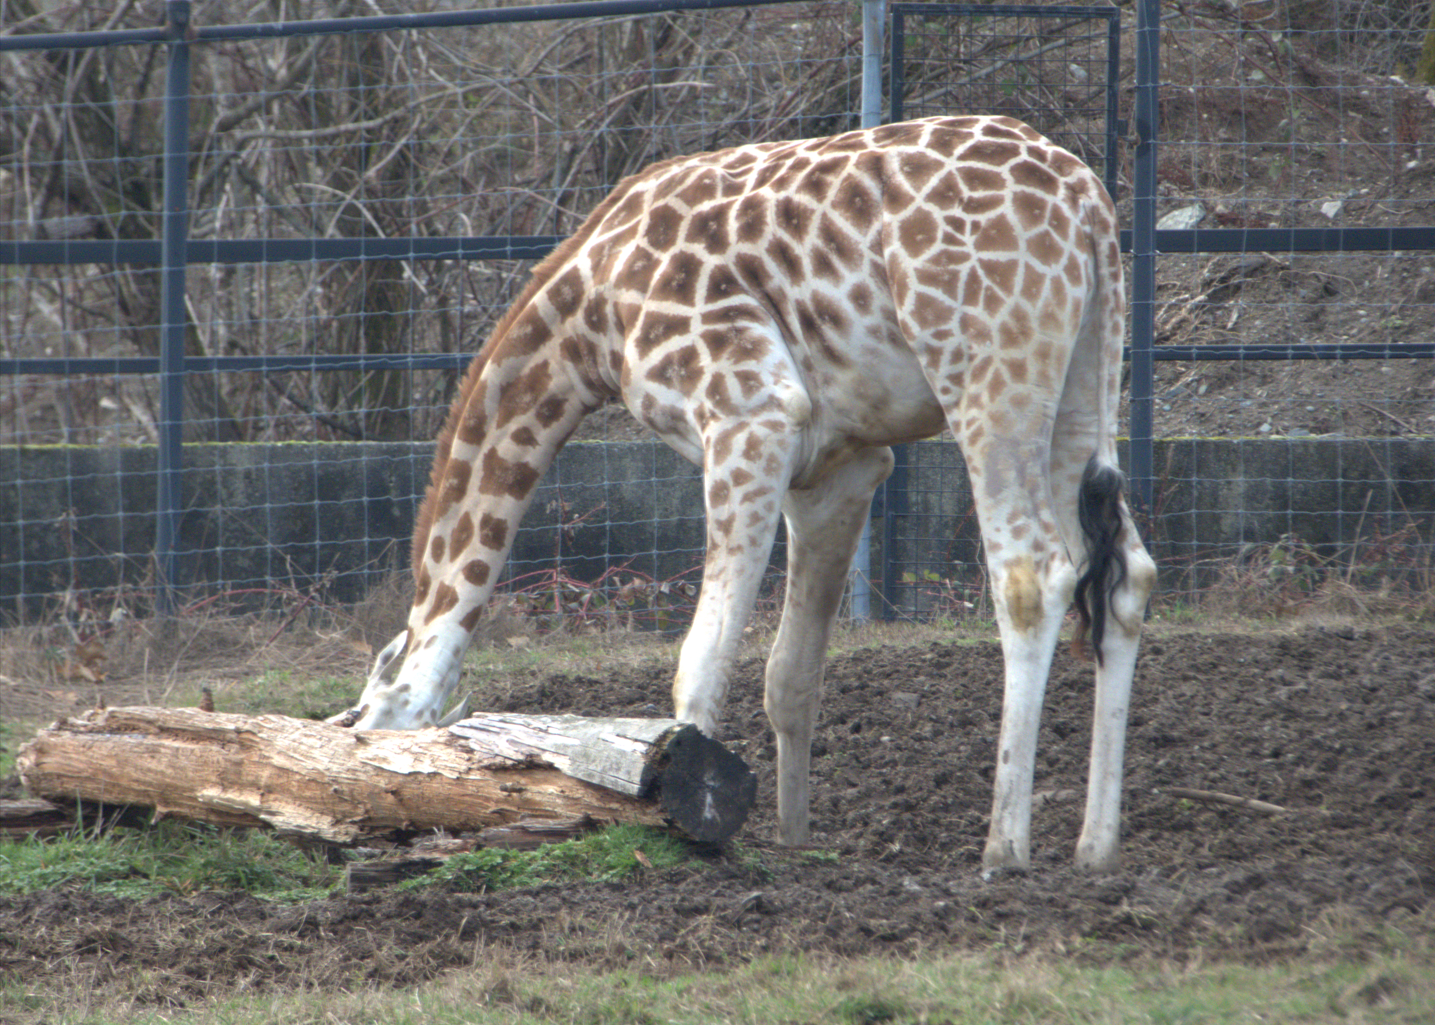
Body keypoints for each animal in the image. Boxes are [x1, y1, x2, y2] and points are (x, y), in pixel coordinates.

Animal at [334, 115, 1156, 874]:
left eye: (363, 729)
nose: (365, 824)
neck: (587, 317)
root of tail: (1088, 204)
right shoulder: (840, 467)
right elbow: (789, 676)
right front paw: (793, 839)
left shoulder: (749, 414)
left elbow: (699, 663)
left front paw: (673, 822)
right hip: (1084, 381)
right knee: (1126, 576)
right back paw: (1096, 847)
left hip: (985, 368)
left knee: (1031, 574)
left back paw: (1003, 847)